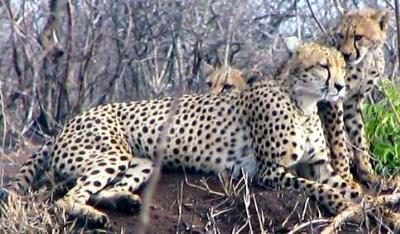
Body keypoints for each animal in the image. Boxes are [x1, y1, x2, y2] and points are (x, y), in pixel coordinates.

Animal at [0, 39, 374, 227]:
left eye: (343, 67)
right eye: (323, 66)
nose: (340, 86)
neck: (304, 103)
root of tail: (67, 123)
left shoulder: (319, 165)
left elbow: (351, 187)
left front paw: (373, 206)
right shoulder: (270, 172)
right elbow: (317, 188)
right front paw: (340, 203)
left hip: (143, 162)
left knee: (100, 190)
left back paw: (123, 201)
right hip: (112, 153)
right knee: (68, 198)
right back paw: (93, 217)